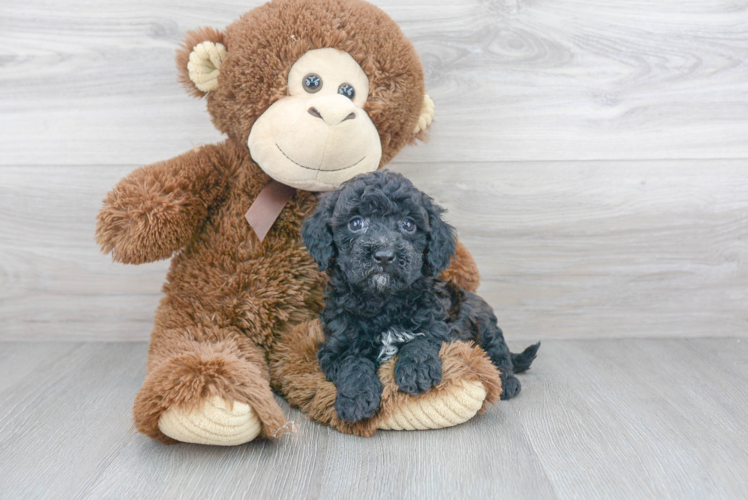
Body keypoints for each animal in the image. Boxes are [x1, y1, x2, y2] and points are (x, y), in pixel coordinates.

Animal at [300, 171, 540, 422]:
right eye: (356, 223)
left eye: (408, 224)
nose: (384, 255)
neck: (383, 302)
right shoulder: (336, 344)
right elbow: (352, 363)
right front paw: (357, 399)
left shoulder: (441, 326)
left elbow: (422, 340)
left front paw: (416, 371)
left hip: (484, 322)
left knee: (498, 353)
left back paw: (508, 381)